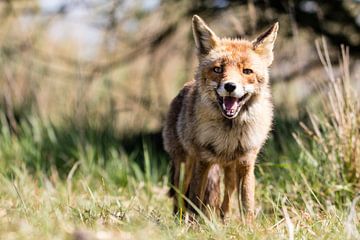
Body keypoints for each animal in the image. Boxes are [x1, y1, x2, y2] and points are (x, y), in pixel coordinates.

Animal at [163, 14, 278, 222]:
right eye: (218, 69)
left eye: (246, 71)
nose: (230, 86)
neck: (228, 133)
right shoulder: (203, 160)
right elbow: (195, 200)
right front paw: (196, 224)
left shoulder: (246, 162)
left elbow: (247, 204)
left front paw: (248, 226)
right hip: (184, 165)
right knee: (180, 197)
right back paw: (180, 221)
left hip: (229, 170)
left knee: (227, 198)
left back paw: (223, 221)